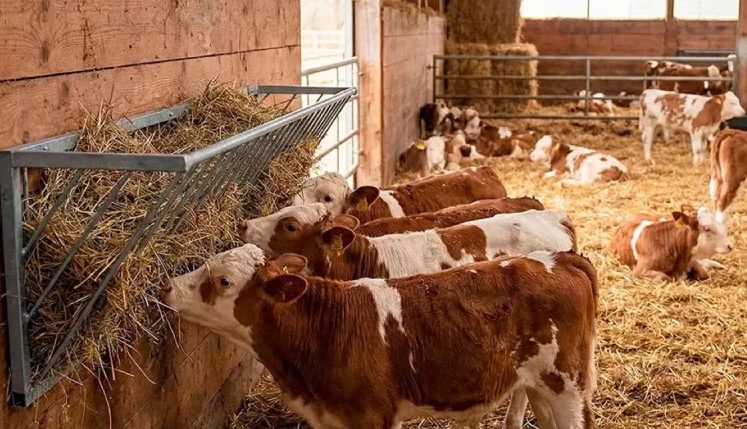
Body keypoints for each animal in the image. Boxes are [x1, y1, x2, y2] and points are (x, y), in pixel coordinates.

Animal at [163, 246, 598, 429]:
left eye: (223, 281)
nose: (168, 286)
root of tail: (557, 258)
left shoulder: (371, 416)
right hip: (540, 386)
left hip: (566, 386)